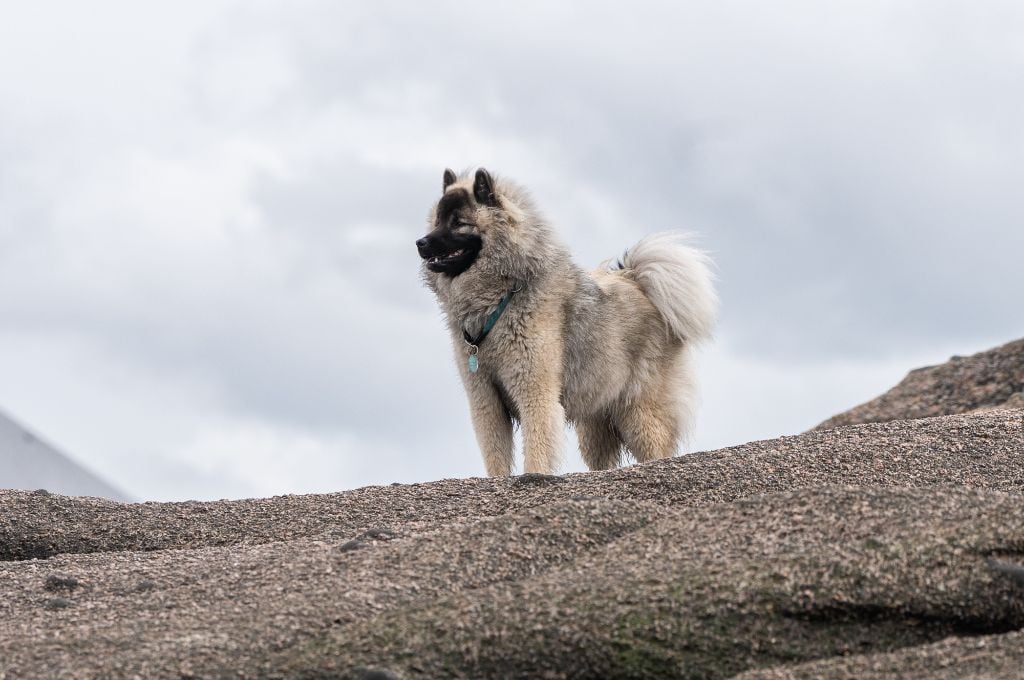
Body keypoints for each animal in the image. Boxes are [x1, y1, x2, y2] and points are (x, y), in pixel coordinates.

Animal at [413, 166, 712, 475]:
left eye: (458, 223)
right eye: (436, 221)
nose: (420, 242)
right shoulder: (485, 400)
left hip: (640, 412)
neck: (499, 299)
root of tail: (638, 282)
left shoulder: (535, 389)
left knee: (657, 448)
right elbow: (495, 454)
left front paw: (533, 476)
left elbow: (537, 445)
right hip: (595, 422)